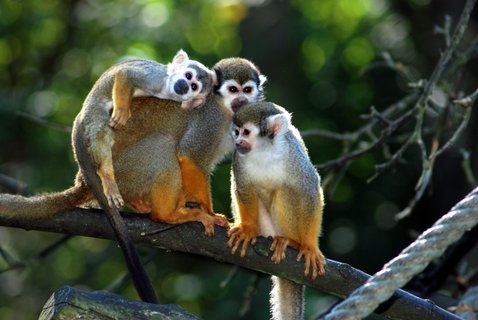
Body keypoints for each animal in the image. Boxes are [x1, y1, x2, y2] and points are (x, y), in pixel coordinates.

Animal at [77, 49, 216, 208]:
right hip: (94, 109)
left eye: (194, 87)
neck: (167, 90)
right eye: (188, 76)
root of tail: (84, 107)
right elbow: (125, 73)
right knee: (101, 130)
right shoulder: (156, 78)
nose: (184, 85)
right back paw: (107, 176)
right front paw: (121, 111)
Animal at [227, 101, 324, 318]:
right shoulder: (239, 160)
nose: (237, 142)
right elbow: (243, 188)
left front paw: (310, 246)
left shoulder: (293, 157)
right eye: (236, 132)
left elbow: (310, 191)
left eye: (246, 132)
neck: (264, 152)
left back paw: (291, 242)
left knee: (285, 190)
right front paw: (247, 228)